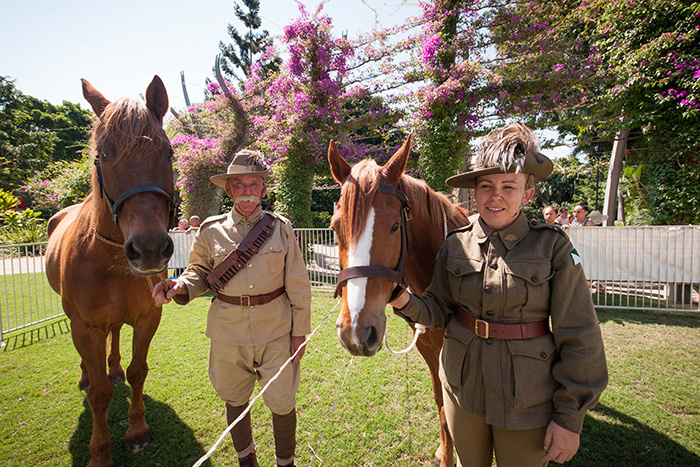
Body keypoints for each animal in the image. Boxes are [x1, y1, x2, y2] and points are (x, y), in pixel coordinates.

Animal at [45, 76, 175, 467]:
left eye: (169, 153)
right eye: (102, 154)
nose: (149, 248)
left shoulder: (148, 317)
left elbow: (138, 371)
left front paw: (136, 431)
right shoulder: (85, 327)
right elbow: (100, 394)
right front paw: (100, 453)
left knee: (115, 335)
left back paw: (113, 366)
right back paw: (87, 374)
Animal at [328, 136, 471, 467]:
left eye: (395, 226)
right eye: (335, 227)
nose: (356, 330)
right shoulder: (428, 349)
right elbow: (440, 403)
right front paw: (445, 453)